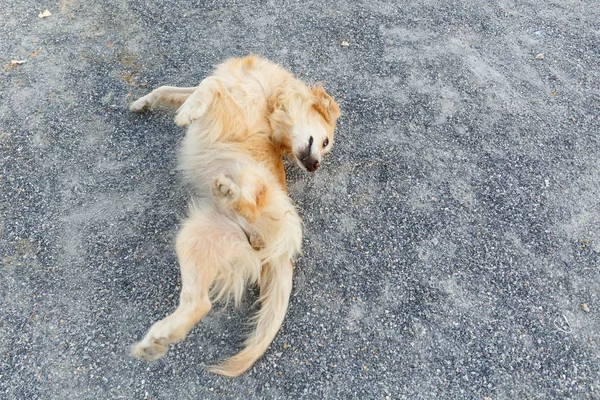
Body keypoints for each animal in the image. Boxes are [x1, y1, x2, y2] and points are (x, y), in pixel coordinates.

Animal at [129, 54, 340, 376]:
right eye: (326, 142)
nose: (315, 165)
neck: (272, 101)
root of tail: (282, 251)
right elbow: (173, 88)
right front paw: (144, 101)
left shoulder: (233, 114)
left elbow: (210, 84)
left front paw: (188, 112)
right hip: (195, 239)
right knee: (199, 303)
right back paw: (157, 340)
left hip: (253, 181)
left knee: (251, 205)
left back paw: (230, 193)